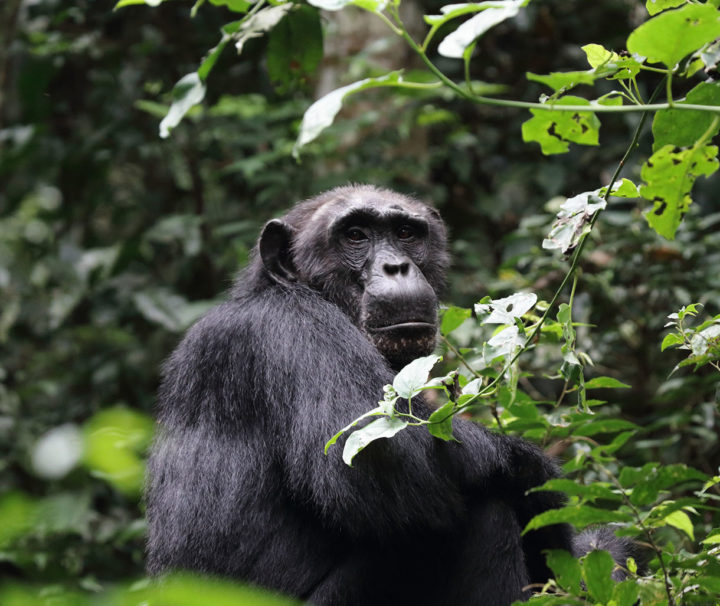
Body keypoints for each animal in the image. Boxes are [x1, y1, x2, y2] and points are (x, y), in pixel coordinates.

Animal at [146, 185, 632, 606]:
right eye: (355, 235)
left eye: (405, 234)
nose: (396, 267)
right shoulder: (296, 330)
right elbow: (382, 458)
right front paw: (541, 484)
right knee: (478, 515)